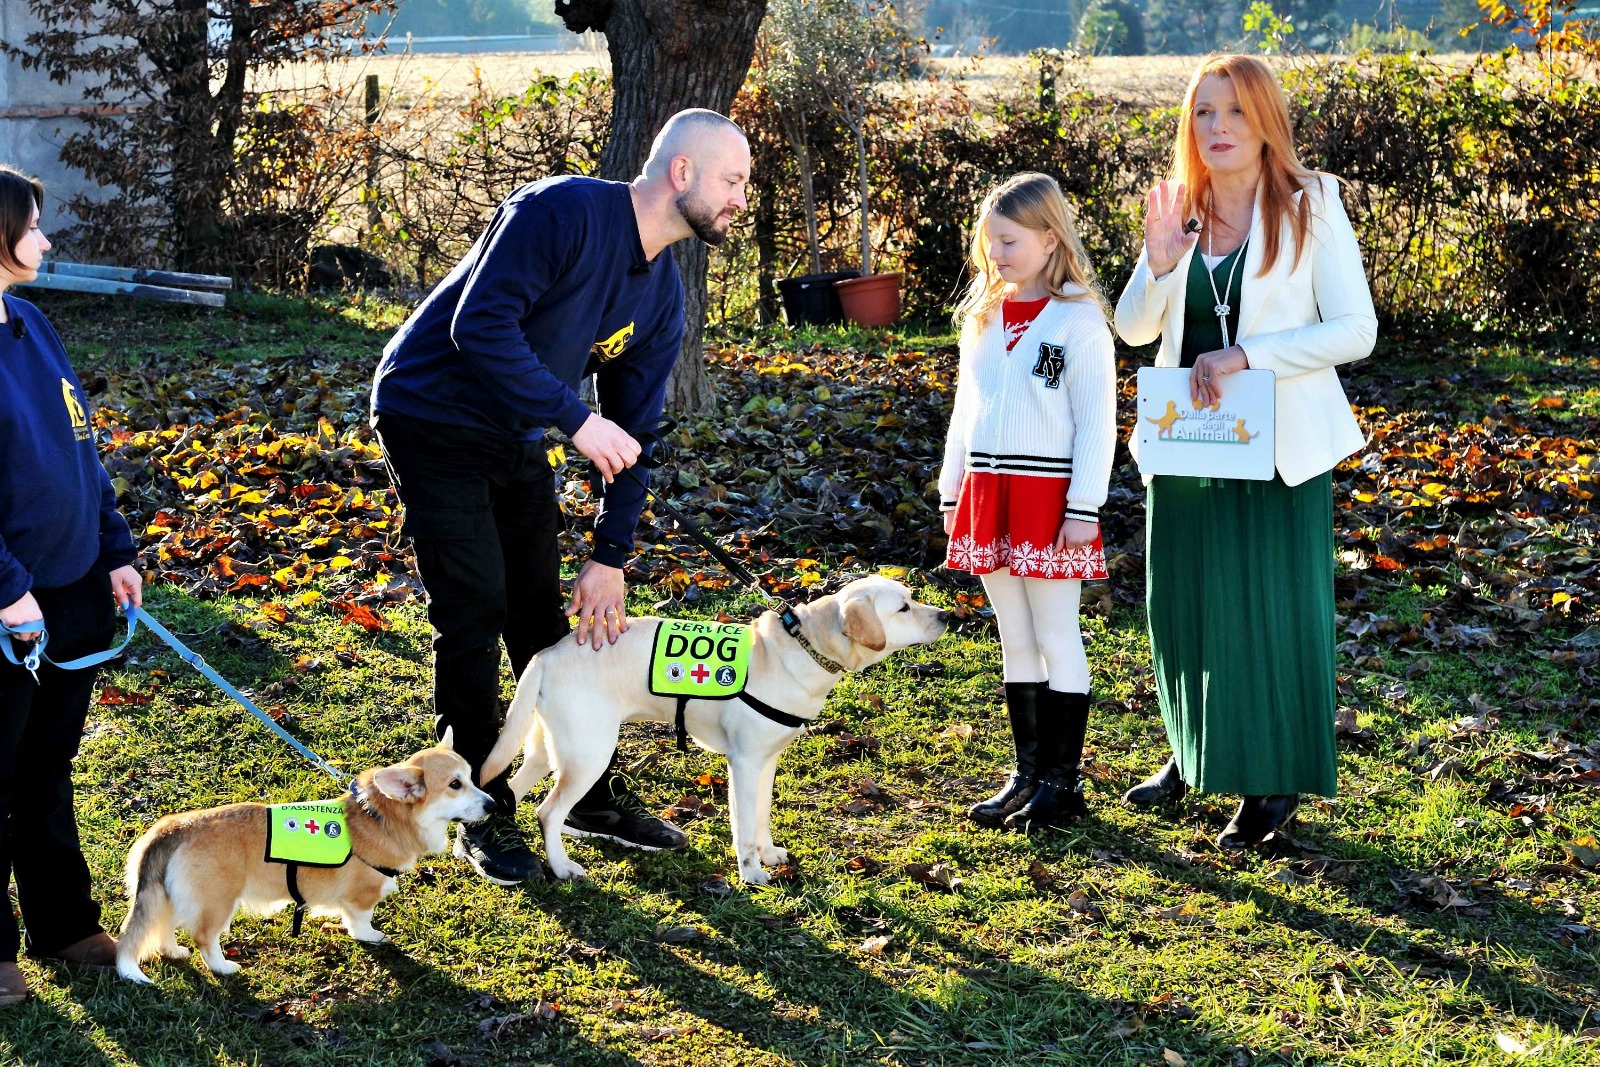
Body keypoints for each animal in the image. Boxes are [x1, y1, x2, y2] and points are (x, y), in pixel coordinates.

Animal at [116, 742, 492, 985]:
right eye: (455, 785)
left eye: (471, 777)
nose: (492, 804)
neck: (383, 817)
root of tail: (174, 828)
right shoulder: (361, 896)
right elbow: (360, 921)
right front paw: (372, 937)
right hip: (218, 903)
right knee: (204, 938)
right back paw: (223, 968)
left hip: (167, 897)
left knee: (163, 926)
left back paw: (174, 951)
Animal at [476, 575, 947, 883]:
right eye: (903, 608)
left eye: (912, 598)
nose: (947, 615)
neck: (802, 646)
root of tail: (546, 655)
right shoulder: (743, 764)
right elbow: (743, 825)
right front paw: (751, 872)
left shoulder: (766, 763)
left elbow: (760, 816)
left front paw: (768, 854)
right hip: (590, 753)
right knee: (547, 811)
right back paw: (560, 866)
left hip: (545, 751)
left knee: (510, 795)